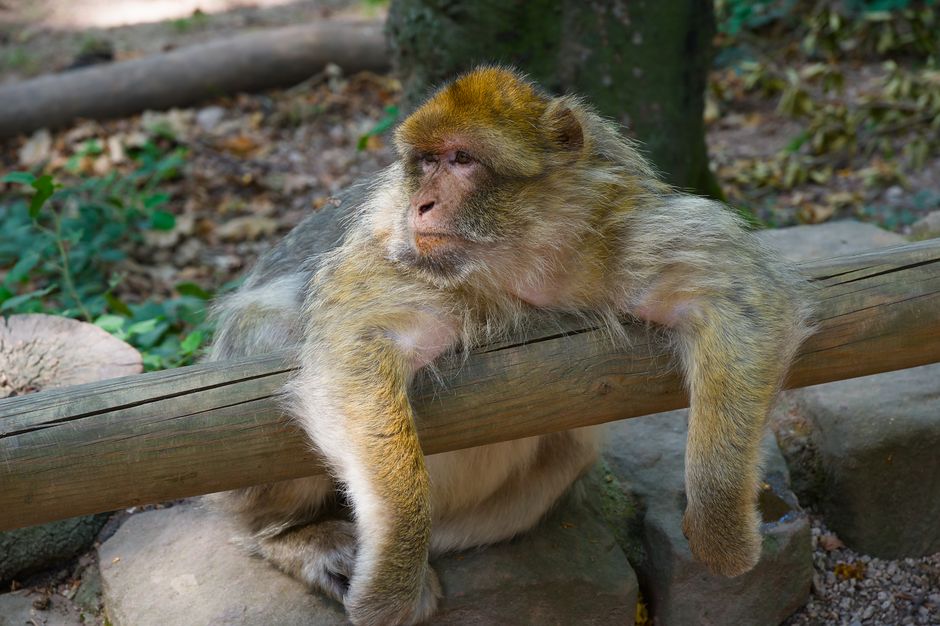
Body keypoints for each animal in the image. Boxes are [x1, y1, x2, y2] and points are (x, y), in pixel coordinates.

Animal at [208, 66, 813, 625]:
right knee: (267, 327)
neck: (521, 266)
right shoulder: (398, 259)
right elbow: (353, 352)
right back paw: (291, 536)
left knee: (567, 454)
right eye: (426, 161)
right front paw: (393, 573)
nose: (421, 204)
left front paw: (721, 529)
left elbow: (738, 296)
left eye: (461, 159)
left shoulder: (631, 231)